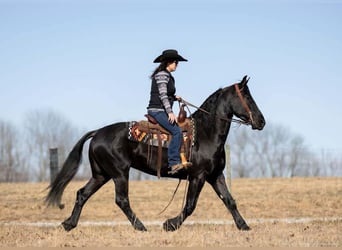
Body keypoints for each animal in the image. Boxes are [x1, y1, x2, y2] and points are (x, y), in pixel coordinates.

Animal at [44, 75, 264, 231]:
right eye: (246, 97)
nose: (261, 121)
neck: (205, 133)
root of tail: (97, 133)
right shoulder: (198, 176)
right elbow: (190, 205)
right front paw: (170, 224)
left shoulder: (215, 175)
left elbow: (229, 200)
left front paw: (244, 226)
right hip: (119, 173)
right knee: (122, 200)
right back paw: (141, 227)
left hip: (101, 174)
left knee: (82, 194)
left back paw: (69, 224)